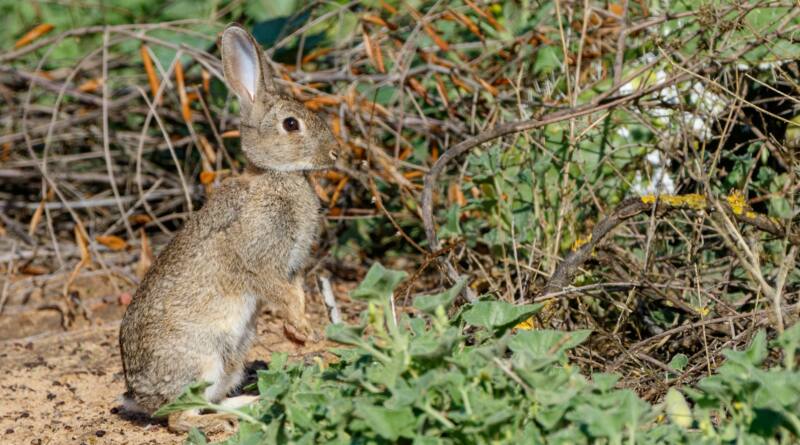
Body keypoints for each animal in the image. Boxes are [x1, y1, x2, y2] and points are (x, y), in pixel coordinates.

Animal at [118, 23, 340, 433]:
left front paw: (299, 331)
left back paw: (253, 403)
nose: (335, 153)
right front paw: (303, 328)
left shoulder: (292, 268)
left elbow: (296, 292)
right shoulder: (259, 259)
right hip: (202, 360)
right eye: (291, 124)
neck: (275, 176)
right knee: (181, 418)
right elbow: (280, 293)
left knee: (212, 400)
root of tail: (138, 396)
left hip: (232, 357)